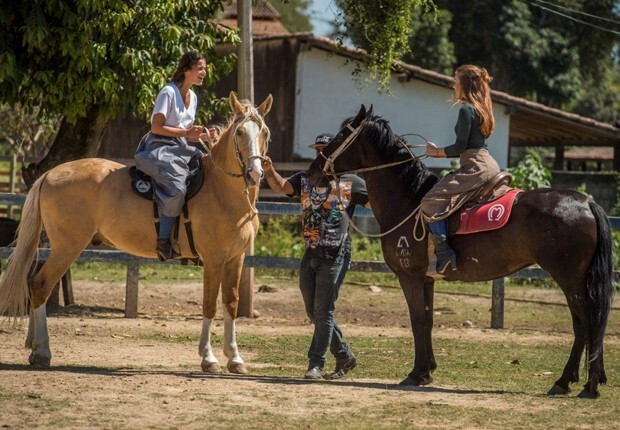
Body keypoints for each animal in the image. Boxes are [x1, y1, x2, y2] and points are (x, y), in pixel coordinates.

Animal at [0, 91, 272, 372]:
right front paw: (208, 358)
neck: (221, 190)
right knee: (40, 285)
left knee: (33, 284)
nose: (254, 173)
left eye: (264, 132)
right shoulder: (214, 260)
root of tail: (49, 175)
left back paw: (34, 348)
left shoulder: (235, 259)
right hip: (67, 248)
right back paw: (43, 351)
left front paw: (235, 358)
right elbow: (209, 305)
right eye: (239, 132)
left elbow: (231, 303)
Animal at [310, 106, 616, 398]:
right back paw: (569, 382)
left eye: (341, 136)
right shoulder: (427, 280)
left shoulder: (410, 277)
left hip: (570, 280)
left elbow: (417, 320)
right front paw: (427, 370)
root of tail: (586, 202)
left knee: (587, 324)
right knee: (584, 325)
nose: (314, 171)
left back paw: (582, 385)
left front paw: (415, 373)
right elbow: (428, 320)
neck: (410, 202)